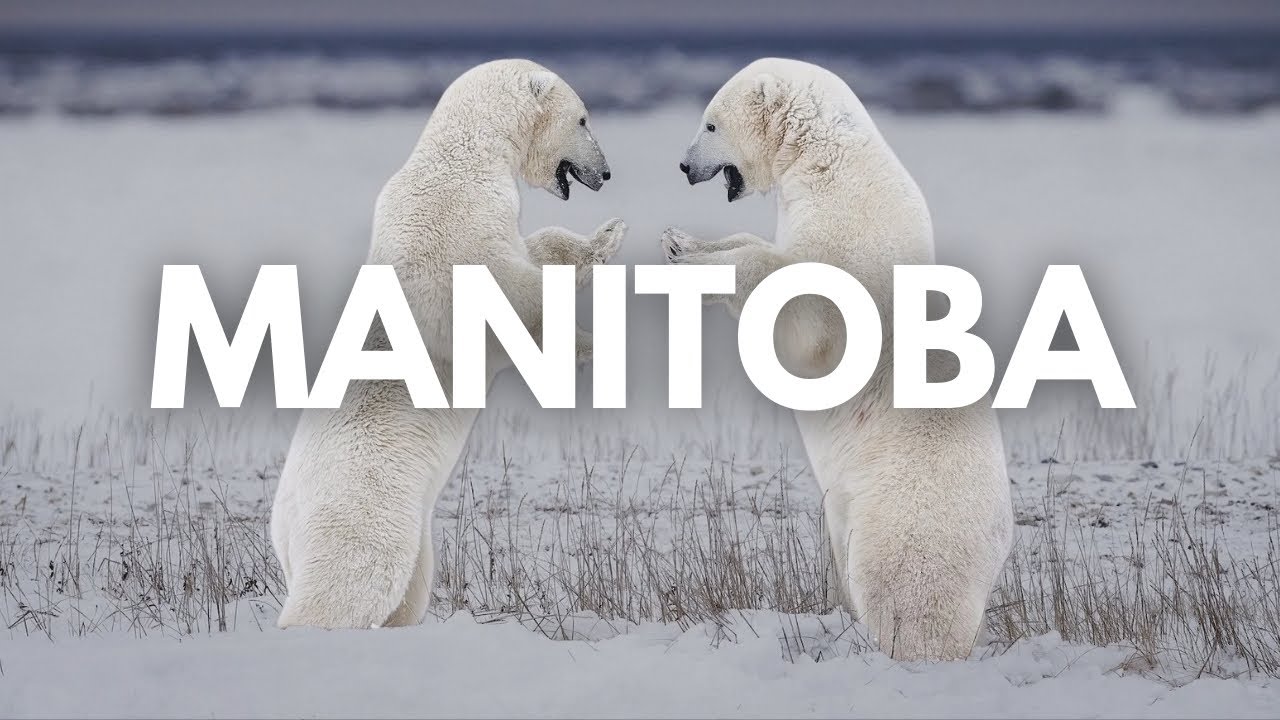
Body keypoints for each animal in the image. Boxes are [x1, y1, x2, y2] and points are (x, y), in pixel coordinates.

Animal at [271, 59, 627, 629]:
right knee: (350, 581)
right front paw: (595, 343)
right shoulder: (457, 229)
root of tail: (283, 525)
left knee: (409, 589)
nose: (607, 172)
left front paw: (607, 235)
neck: (460, 161)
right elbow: (514, 301)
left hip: (411, 531)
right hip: (365, 507)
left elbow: (537, 252)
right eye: (583, 119)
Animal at [662, 58, 1013, 661]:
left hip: (906, 513)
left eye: (709, 124)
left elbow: (805, 316)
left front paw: (692, 259)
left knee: (901, 587)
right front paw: (683, 241)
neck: (830, 164)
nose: (685, 165)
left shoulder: (850, 235)